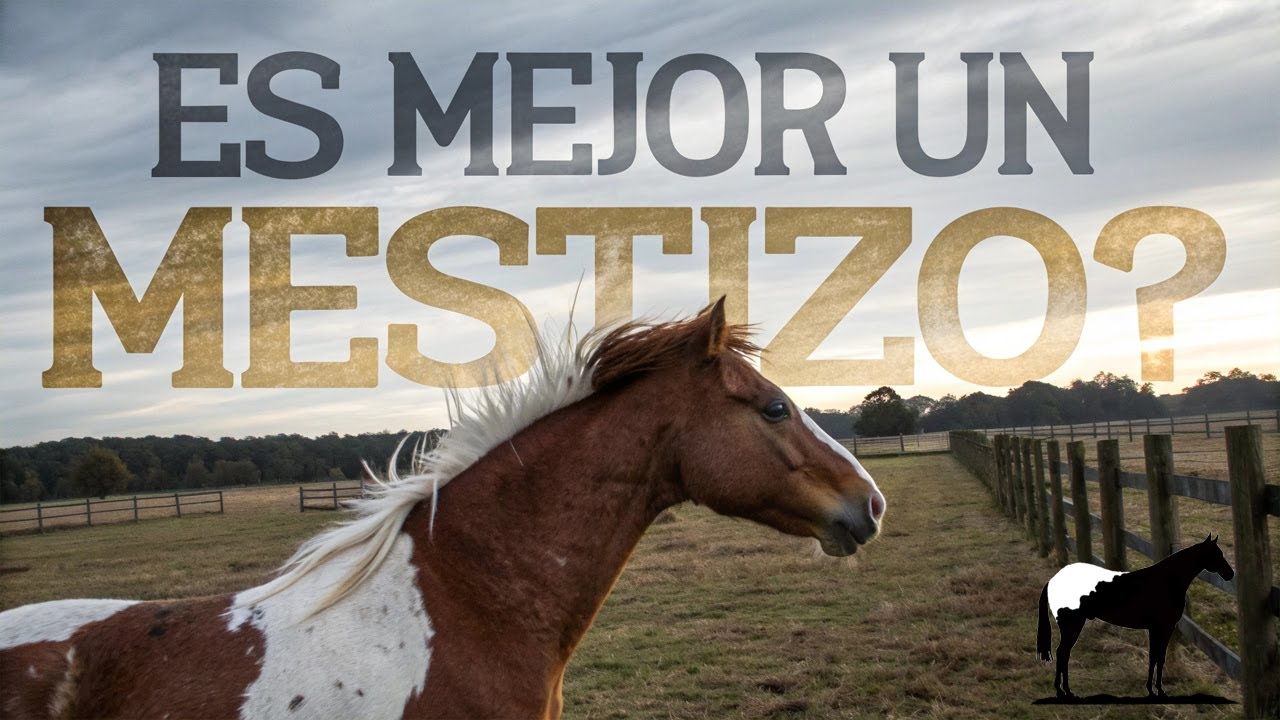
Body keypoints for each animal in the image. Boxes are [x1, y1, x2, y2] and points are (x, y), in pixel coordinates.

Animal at [1036, 534, 1234, 699]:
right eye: (1216, 554)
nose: (1230, 574)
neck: (1167, 581)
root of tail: (1053, 581)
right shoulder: (1164, 628)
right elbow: (1158, 657)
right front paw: (1158, 690)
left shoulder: (1156, 629)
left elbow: (1154, 657)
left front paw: (1152, 689)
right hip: (1072, 626)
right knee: (1062, 652)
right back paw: (1063, 691)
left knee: (1064, 653)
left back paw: (1065, 690)